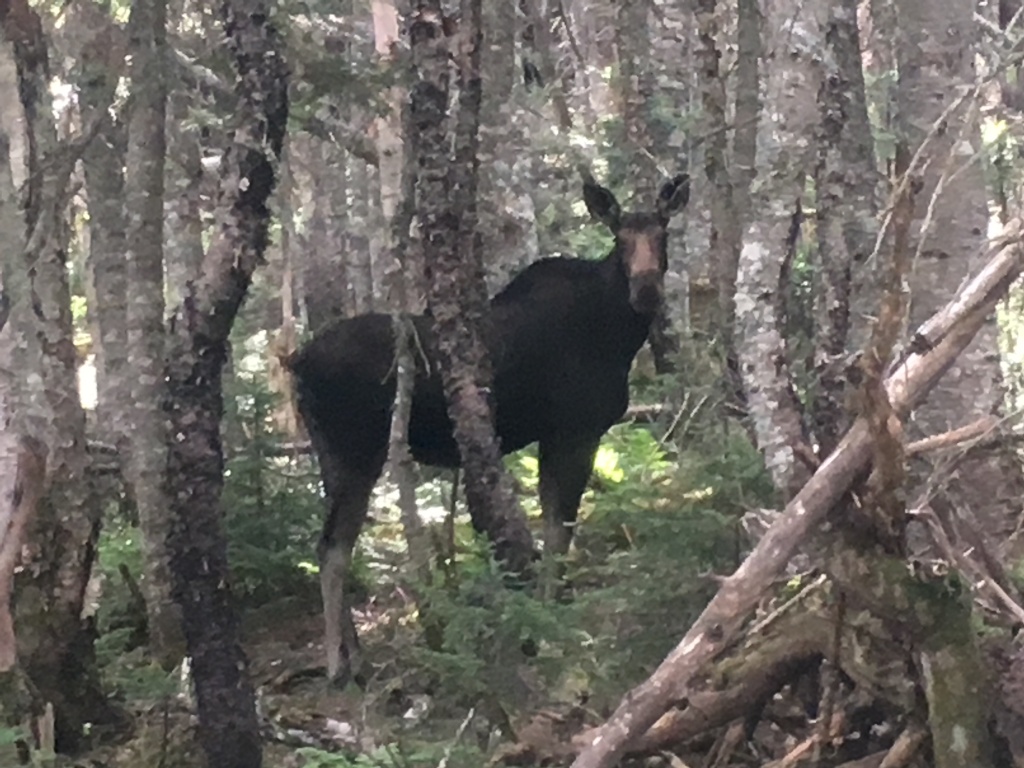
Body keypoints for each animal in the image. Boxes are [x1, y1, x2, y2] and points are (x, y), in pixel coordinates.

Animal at [288, 173, 690, 685]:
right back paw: (339, 665)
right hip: (356, 451)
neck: (616, 334)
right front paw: (549, 623)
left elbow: (554, 526)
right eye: (620, 240)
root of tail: (296, 362)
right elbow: (558, 529)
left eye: (663, 234)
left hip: (330, 452)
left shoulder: (556, 435)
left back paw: (355, 657)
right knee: (333, 548)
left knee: (335, 541)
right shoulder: (575, 430)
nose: (646, 290)